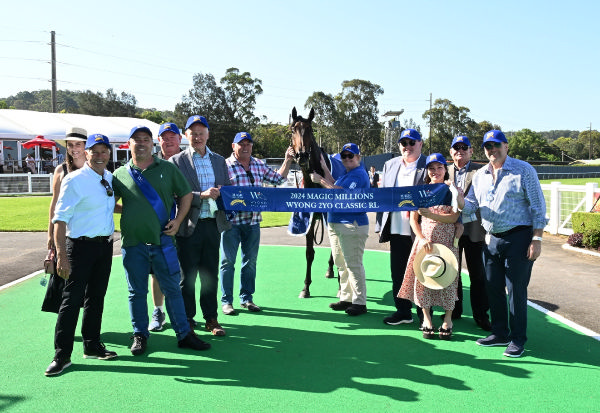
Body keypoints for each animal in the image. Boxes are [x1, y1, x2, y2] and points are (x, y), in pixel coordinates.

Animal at [288, 106, 336, 296]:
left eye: (309, 129)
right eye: (292, 129)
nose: (302, 155)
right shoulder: (308, 218)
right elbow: (309, 252)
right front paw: (306, 287)